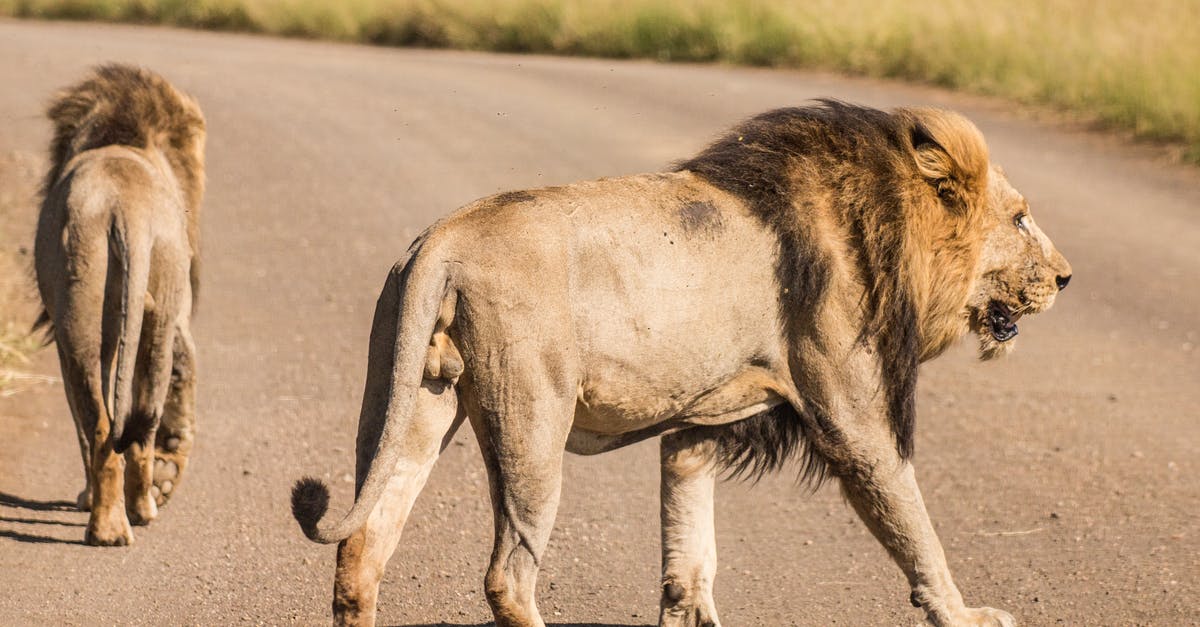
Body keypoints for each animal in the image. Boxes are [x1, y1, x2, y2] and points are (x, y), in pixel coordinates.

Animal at [34, 64, 205, 546]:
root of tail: (124, 209)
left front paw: (85, 497)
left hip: (82, 322)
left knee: (101, 424)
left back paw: (110, 522)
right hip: (153, 305)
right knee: (137, 421)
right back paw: (137, 511)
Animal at [291, 100, 1071, 626]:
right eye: (1020, 219)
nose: (1066, 277)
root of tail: (441, 242)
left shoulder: (702, 422)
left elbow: (689, 546)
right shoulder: (854, 417)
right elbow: (916, 527)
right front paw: (966, 614)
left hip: (408, 401)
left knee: (361, 548)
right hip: (530, 425)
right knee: (506, 577)